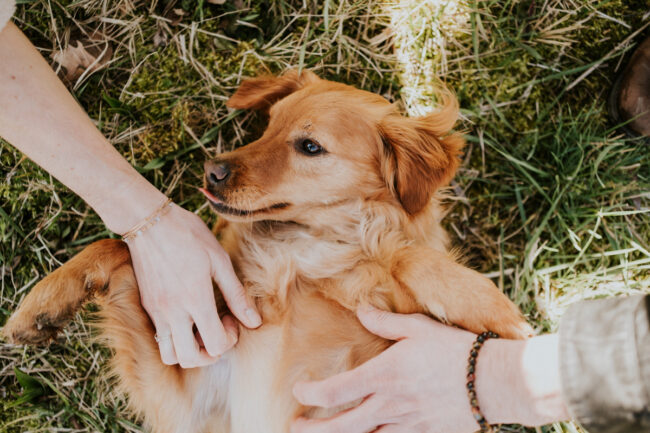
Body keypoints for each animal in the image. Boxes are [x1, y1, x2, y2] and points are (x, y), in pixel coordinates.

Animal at [3, 69, 532, 430]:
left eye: (310, 147)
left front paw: (492, 308)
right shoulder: (191, 402)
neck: (299, 250)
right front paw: (41, 306)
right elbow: (114, 246)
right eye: (270, 125)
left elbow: (405, 257)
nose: (212, 171)